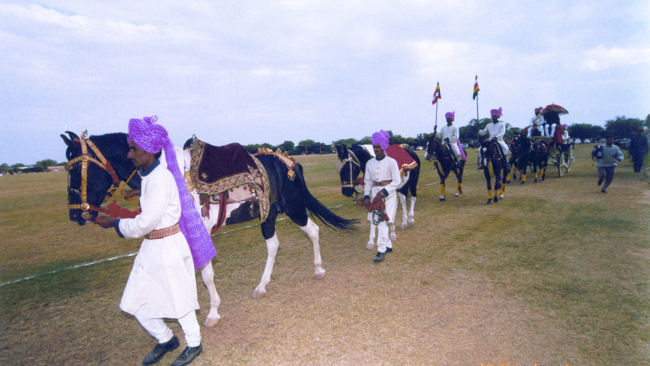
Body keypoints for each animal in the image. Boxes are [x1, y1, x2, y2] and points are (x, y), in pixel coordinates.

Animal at [60, 131, 354, 326]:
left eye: (76, 170)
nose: (75, 214)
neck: (170, 176)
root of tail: (288, 162)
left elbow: (207, 275)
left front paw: (212, 312)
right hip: (268, 215)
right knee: (274, 245)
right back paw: (262, 286)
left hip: (293, 208)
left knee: (313, 231)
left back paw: (318, 269)